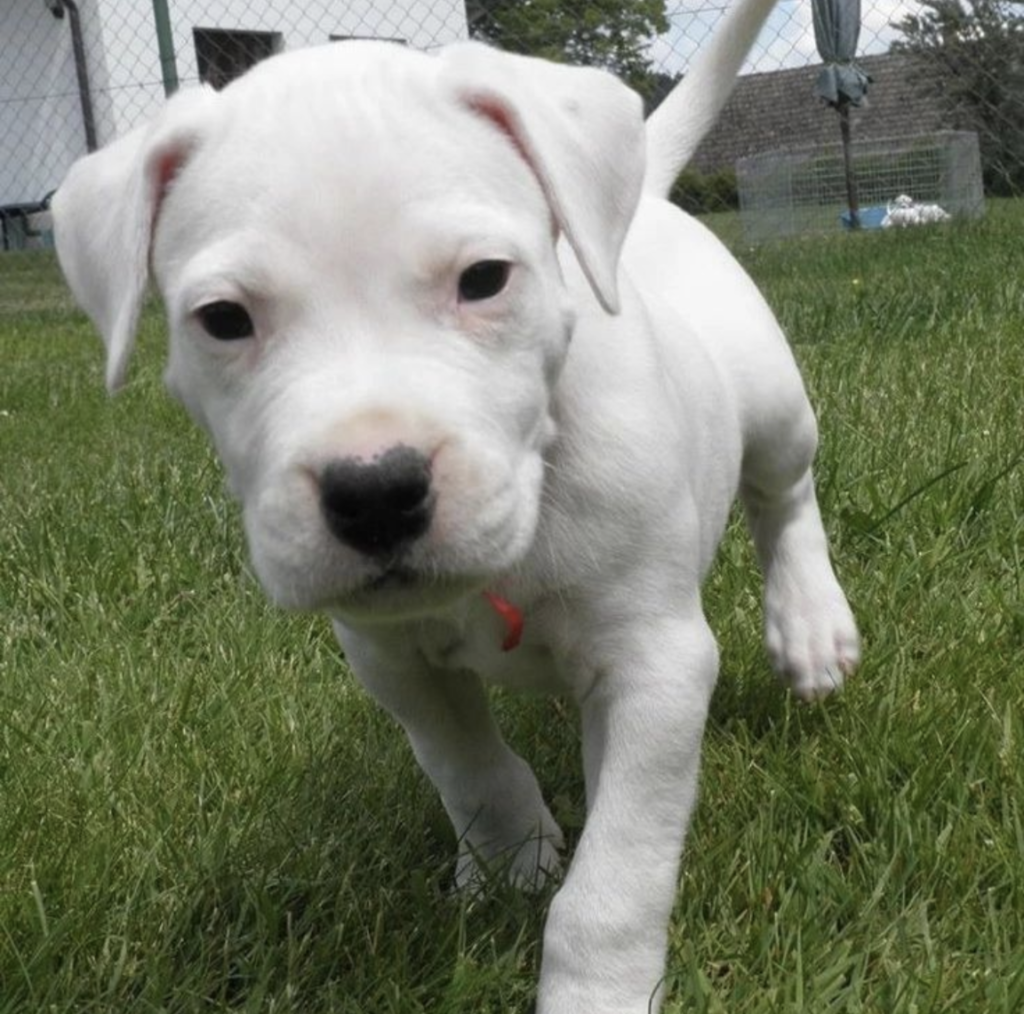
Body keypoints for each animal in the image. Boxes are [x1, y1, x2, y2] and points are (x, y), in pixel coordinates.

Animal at [52, 0, 859, 1009]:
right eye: (223, 320)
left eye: (484, 279)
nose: (375, 491)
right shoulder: (391, 658)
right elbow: (466, 764)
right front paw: (514, 856)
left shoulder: (657, 666)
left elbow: (616, 875)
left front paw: (593, 988)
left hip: (773, 401)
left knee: (786, 497)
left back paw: (810, 624)